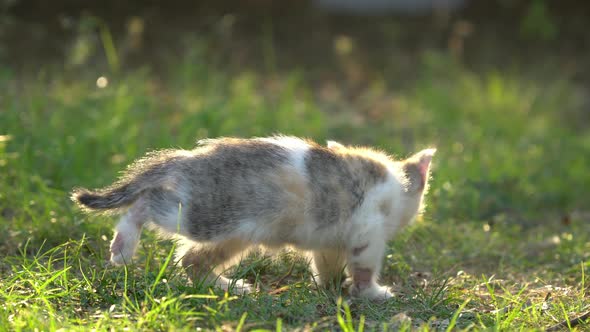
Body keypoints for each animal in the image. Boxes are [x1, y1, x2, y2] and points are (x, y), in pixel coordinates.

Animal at [71, 136, 438, 300]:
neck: (393, 186)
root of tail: (188, 158)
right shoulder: (367, 230)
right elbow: (363, 265)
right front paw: (371, 291)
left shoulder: (330, 239)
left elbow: (327, 262)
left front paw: (330, 287)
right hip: (202, 214)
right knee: (147, 202)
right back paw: (123, 245)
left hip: (233, 234)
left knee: (192, 261)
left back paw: (229, 286)